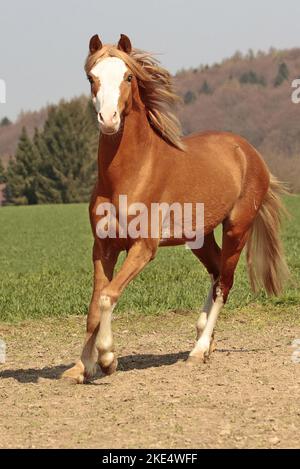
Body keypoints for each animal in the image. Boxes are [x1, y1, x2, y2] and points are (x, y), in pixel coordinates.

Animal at [62, 33, 290, 384]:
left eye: (128, 77)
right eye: (91, 78)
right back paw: (203, 336)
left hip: (237, 229)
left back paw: (198, 351)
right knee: (215, 273)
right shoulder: (103, 247)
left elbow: (108, 296)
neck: (129, 176)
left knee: (224, 283)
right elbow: (93, 305)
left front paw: (108, 358)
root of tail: (250, 153)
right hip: (200, 237)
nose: (109, 120)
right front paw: (81, 367)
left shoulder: (143, 248)